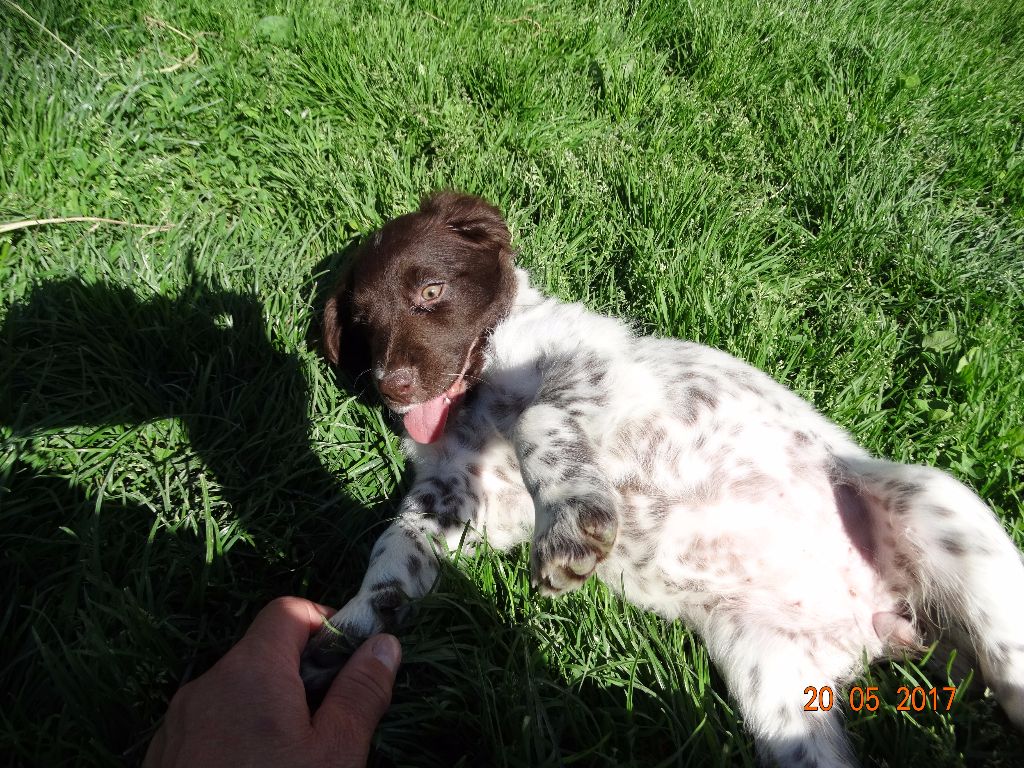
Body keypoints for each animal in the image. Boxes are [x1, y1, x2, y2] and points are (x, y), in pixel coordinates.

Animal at [301, 191, 1024, 766]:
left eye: (431, 292)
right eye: (362, 323)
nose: (394, 389)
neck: (474, 401)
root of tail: (882, 616)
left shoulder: (593, 373)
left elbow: (538, 418)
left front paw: (574, 528)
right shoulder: (469, 497)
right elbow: (396, 547)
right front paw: (347, 629)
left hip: (938, 506)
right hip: (775, 680)